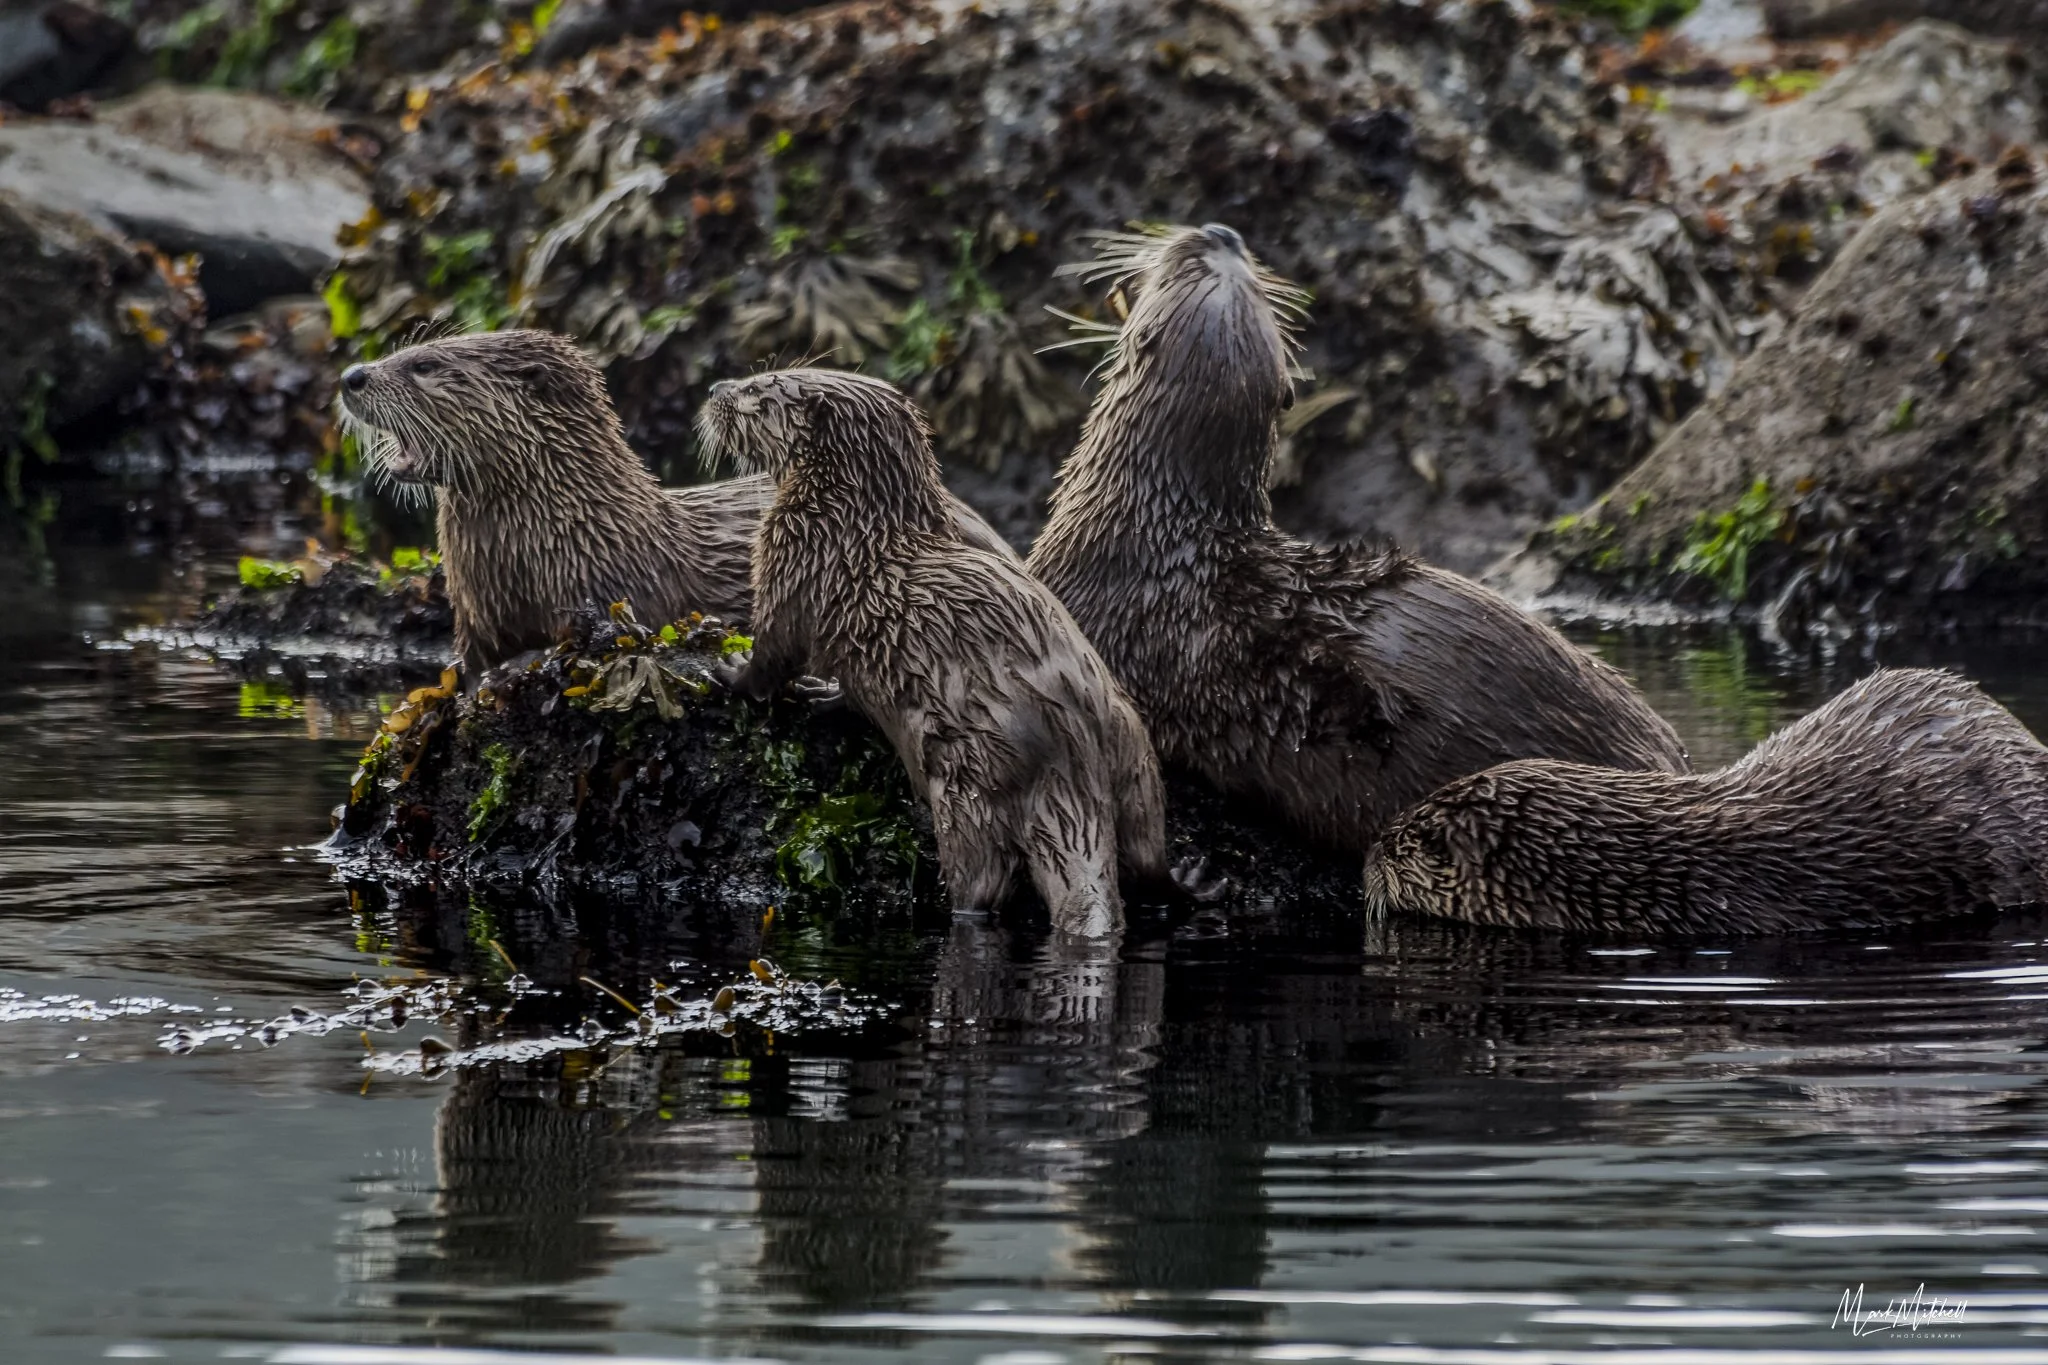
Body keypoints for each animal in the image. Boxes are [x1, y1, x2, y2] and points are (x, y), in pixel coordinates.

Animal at [697, 366, 1168, 937]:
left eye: (757, 388)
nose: (715, 388)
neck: (849, 519)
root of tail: (1075, 749)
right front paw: (824, 693)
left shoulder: (791, 558)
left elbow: (772, 654)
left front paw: (729, 671)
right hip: (1135, 758)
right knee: (1149, 858)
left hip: (969, 787)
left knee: (982, 883)